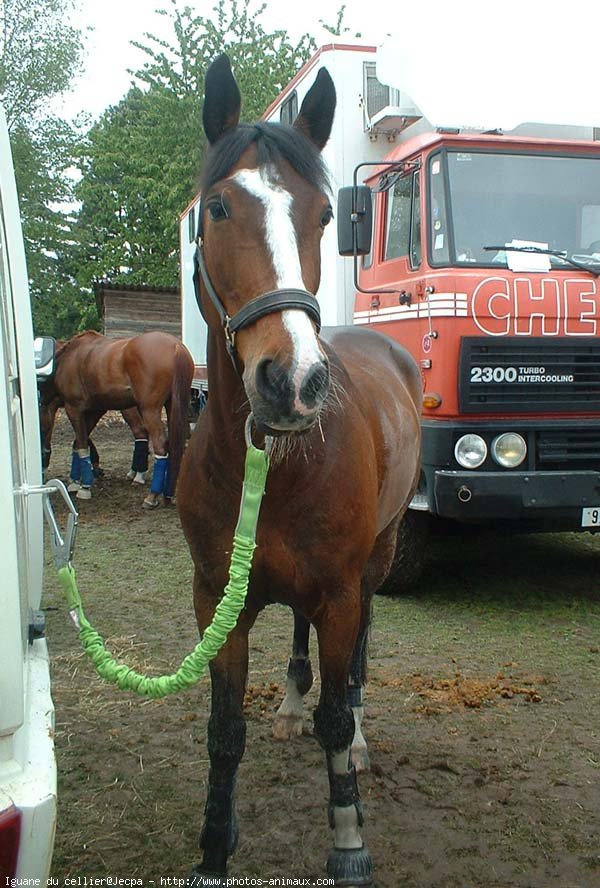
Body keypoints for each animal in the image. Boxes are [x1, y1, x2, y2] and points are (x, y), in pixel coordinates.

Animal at [39, 332, 195, 506]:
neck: (66, 359)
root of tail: (176, 346)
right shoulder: (94, 410)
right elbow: (79, 443)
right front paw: (76, 480)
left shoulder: (73, 408)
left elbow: (81, 445)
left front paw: (84, 486)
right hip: (172, 405)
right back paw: (167, 494)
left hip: (149, 410)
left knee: (160, 445)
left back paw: (152, 495)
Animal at [178, 57, 422, 888]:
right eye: (217, 209)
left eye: (323, 215)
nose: (292, 382)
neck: (277, 467)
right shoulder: (215, 599)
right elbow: (223, 732)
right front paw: (213, 853)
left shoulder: (342, 591)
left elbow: (337, 715)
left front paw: (348, 843)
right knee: (296, 632)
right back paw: (288, 705)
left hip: (377, 561)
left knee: (357, 662)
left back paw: (358, 735)